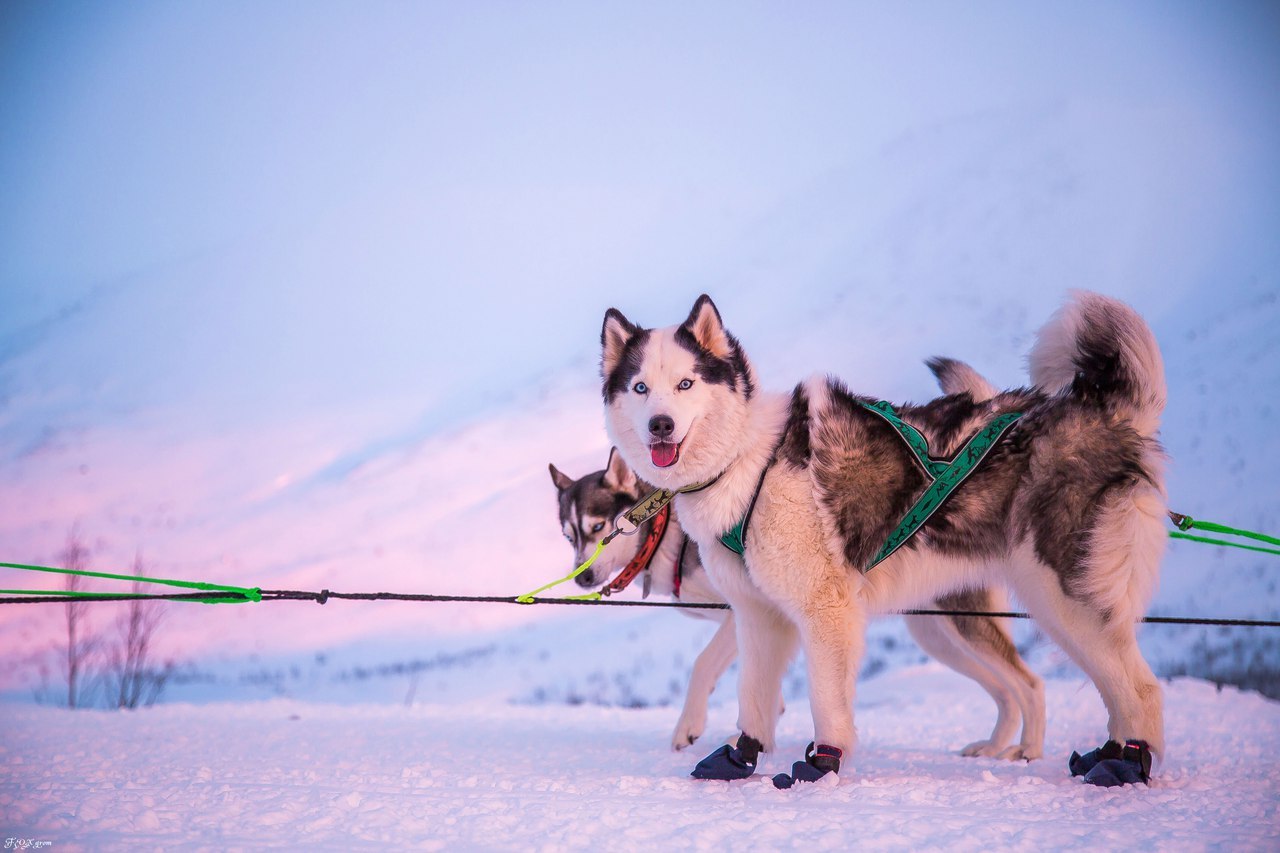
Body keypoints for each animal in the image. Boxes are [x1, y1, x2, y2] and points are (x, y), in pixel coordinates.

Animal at [555, 358, 1044, 758]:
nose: (581, 579)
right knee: (1005, 688)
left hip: (960, 626)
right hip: (939, 635)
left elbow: (704, 665)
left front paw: (692, 728)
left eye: (597, 529)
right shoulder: (756, 615)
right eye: (569, 535)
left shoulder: (745, 612)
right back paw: (995, 745)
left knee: (1029, 683)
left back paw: (1026, 750)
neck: (669, 528)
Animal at [604, 292, 1167, 783]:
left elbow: (825, 700)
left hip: (1061, 597)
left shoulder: (825, 611)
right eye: (640, 388)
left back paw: (1127, 764)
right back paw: (1101, 754)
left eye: (686, 383)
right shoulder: (758, 615)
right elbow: (753, 697)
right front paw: (740, 758)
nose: (660, 425)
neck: (748, 460)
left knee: (1140, 687)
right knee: (1101, 687)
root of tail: (1108, 415)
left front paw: (822, 765)